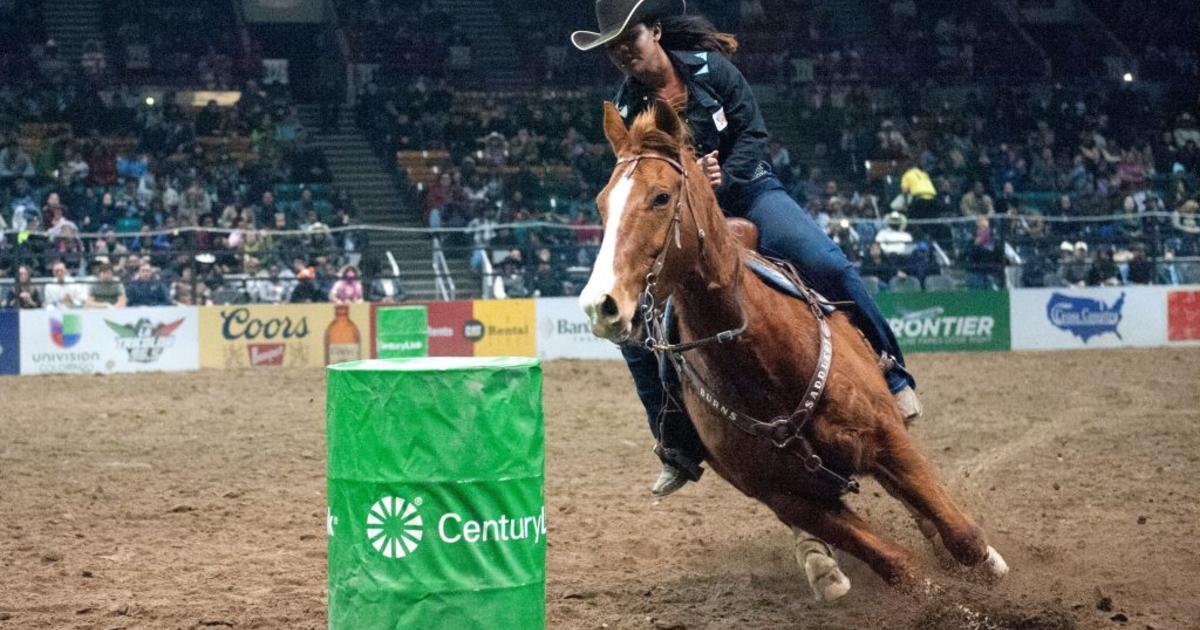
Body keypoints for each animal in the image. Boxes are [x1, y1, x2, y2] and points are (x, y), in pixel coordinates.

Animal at [576, 100, 1008, 602]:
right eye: (601, 203)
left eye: (661, 197)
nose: (600, 305)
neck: (763, 364)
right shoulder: (788, 498)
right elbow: (901, 569)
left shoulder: (888, 440)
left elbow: (961, 535)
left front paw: (987, 567)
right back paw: (821, 567)